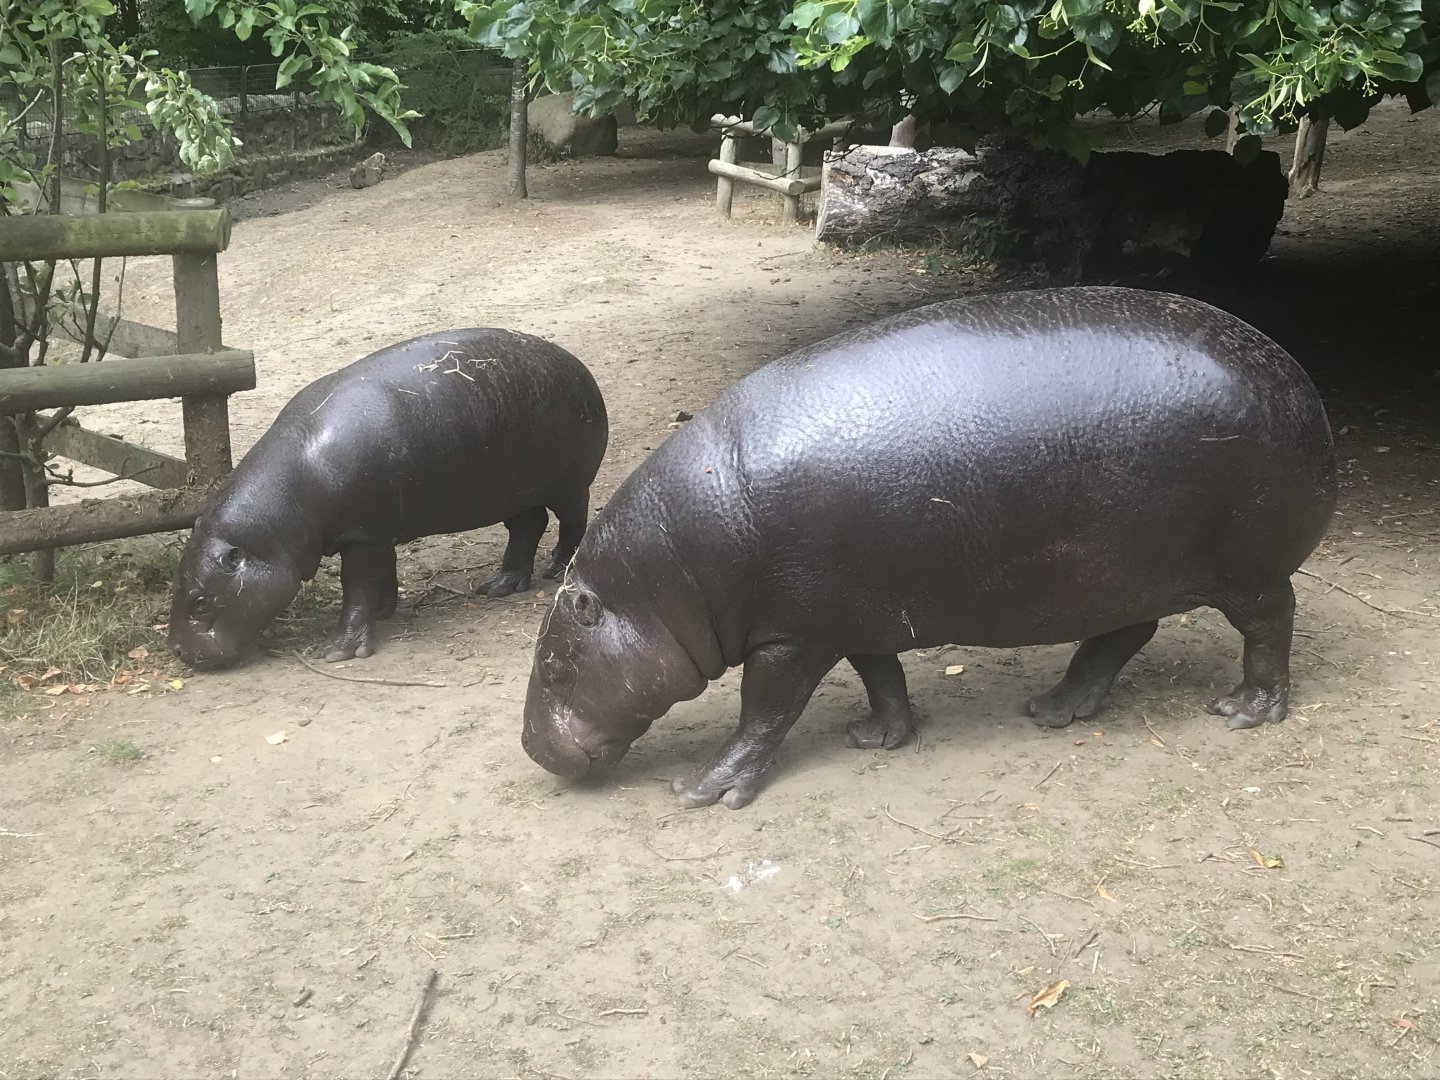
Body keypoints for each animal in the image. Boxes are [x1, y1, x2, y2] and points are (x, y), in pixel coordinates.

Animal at [169, 328, 608, 668]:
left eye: (201, 602)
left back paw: (557, 569)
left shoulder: (363, 535)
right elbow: (383, 572)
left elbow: (356, 586)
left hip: (568, 483)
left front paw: (337, 651)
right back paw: (498, 586)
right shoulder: (375, 531)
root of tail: (577, 364)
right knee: (527, 526)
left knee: (572, 520)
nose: (176, 651)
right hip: (510, 492)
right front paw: (384, 611)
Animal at [520, 286, 1337, 809]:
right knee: (1125, 633)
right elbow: (881, 674)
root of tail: (1298, 380)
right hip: (1119, 572)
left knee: (1271, 622)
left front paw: (700, 790)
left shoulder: (788, 637)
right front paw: (875, 737)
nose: (530, 748)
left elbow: (762, 714)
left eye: (556, 664)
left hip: (1245, 569)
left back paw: (1244, 710)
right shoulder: (848, 615)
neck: (667, 577)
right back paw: (1055, 709)